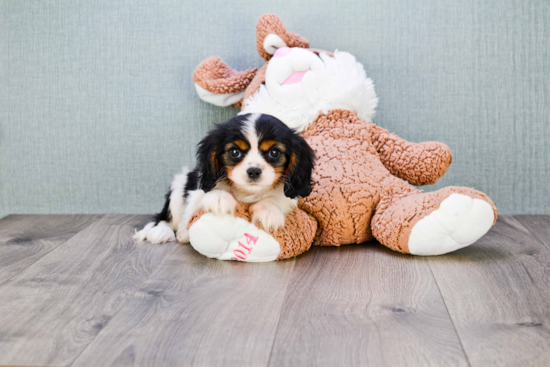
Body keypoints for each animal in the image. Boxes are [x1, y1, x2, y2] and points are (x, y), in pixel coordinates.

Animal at [134, 113, 314, 244]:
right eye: (235, 152)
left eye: (274, 153)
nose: (254, 171)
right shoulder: (198, 187)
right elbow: (209, 192)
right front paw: (220, 198)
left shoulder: (290, 196)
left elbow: (277, 198)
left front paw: (269, 211)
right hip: (178, 189)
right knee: (164, 218)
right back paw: (161, 232)